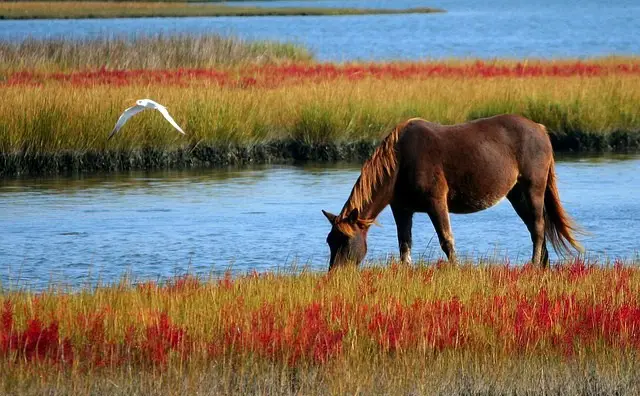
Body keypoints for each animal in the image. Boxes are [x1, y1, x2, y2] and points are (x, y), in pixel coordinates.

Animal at [322, 113, 584, 270]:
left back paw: (533, 265)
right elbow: (404, 244)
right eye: (329, 241)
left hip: (533, 189)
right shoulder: (402, 209)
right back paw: (542, 265)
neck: (400, 162)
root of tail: (540, 129)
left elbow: (446, 240)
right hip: (517, 195)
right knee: (534, 228)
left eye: (345, 241)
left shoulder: (436, 202)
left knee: (538, 228)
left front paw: (455, 269)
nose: (335, 274)